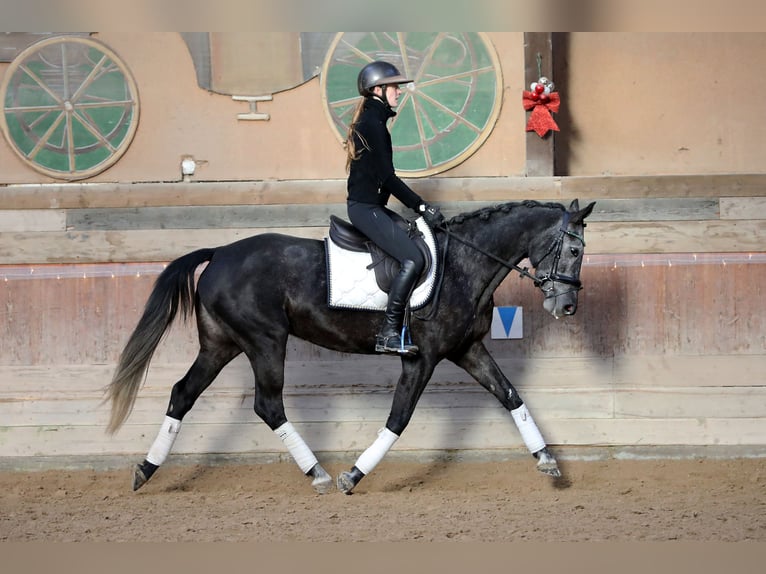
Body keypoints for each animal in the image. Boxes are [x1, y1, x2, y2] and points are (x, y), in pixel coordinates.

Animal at [105, 199, 596, 496]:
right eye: (574, 250)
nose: (568, 306)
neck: (464, 264)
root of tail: (220, 252)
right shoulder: (423, 358)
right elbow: (399, 418)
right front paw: (353, 475)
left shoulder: (467, 349)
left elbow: (512, 396)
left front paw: (548, 461)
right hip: (265, 341)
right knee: (268, 405)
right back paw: (318, 473)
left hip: (221, 344)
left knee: (183, 393)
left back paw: (145, 469)